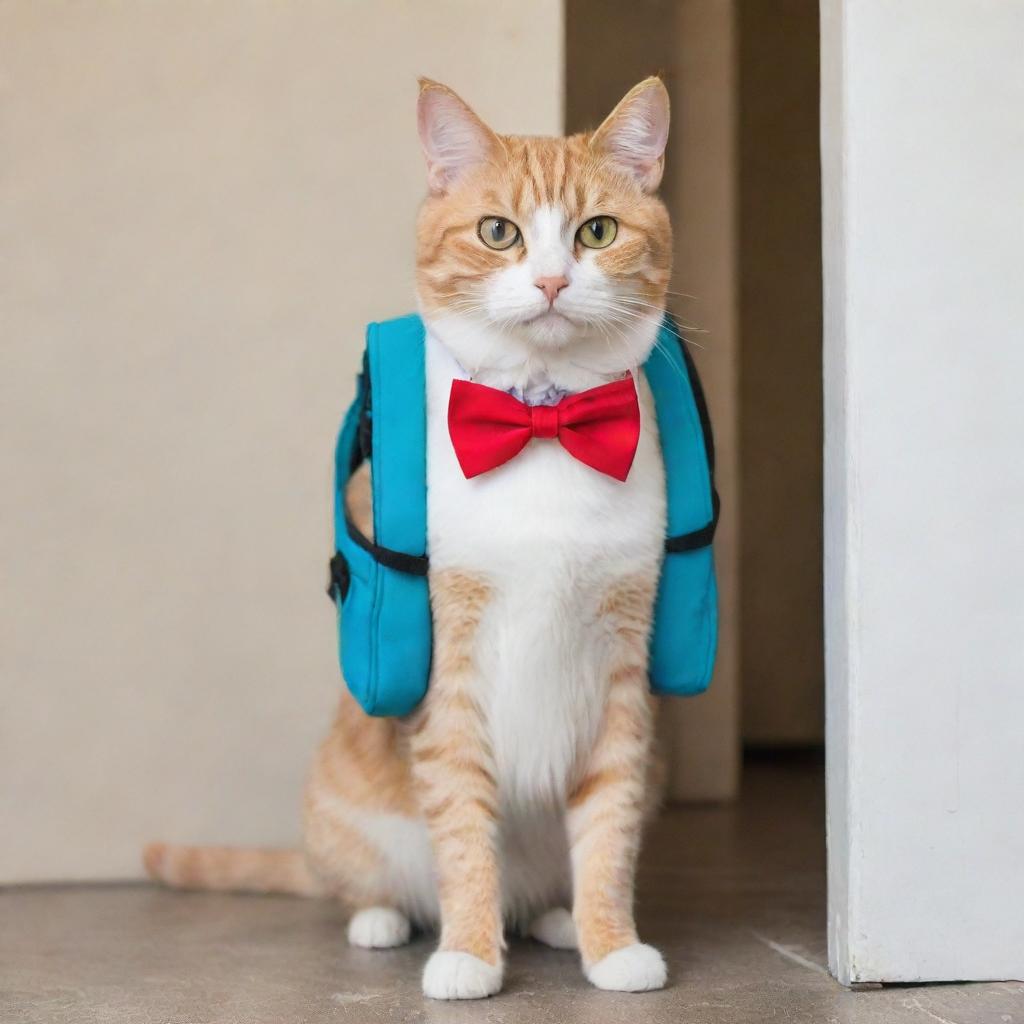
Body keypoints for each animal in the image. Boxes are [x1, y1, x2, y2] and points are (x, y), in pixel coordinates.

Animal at [144, 74, 671, 999]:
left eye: (597, 232)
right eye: (499, 232)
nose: (550, 282)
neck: (542, 427)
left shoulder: (622, 669)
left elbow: (608, 830)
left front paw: (611, 945)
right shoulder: (444, 674)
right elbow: (461, 826)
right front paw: (468, 953)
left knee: (546, 882)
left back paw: (555, 916)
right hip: (340, 806)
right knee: (367, 882)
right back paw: (385, 920)